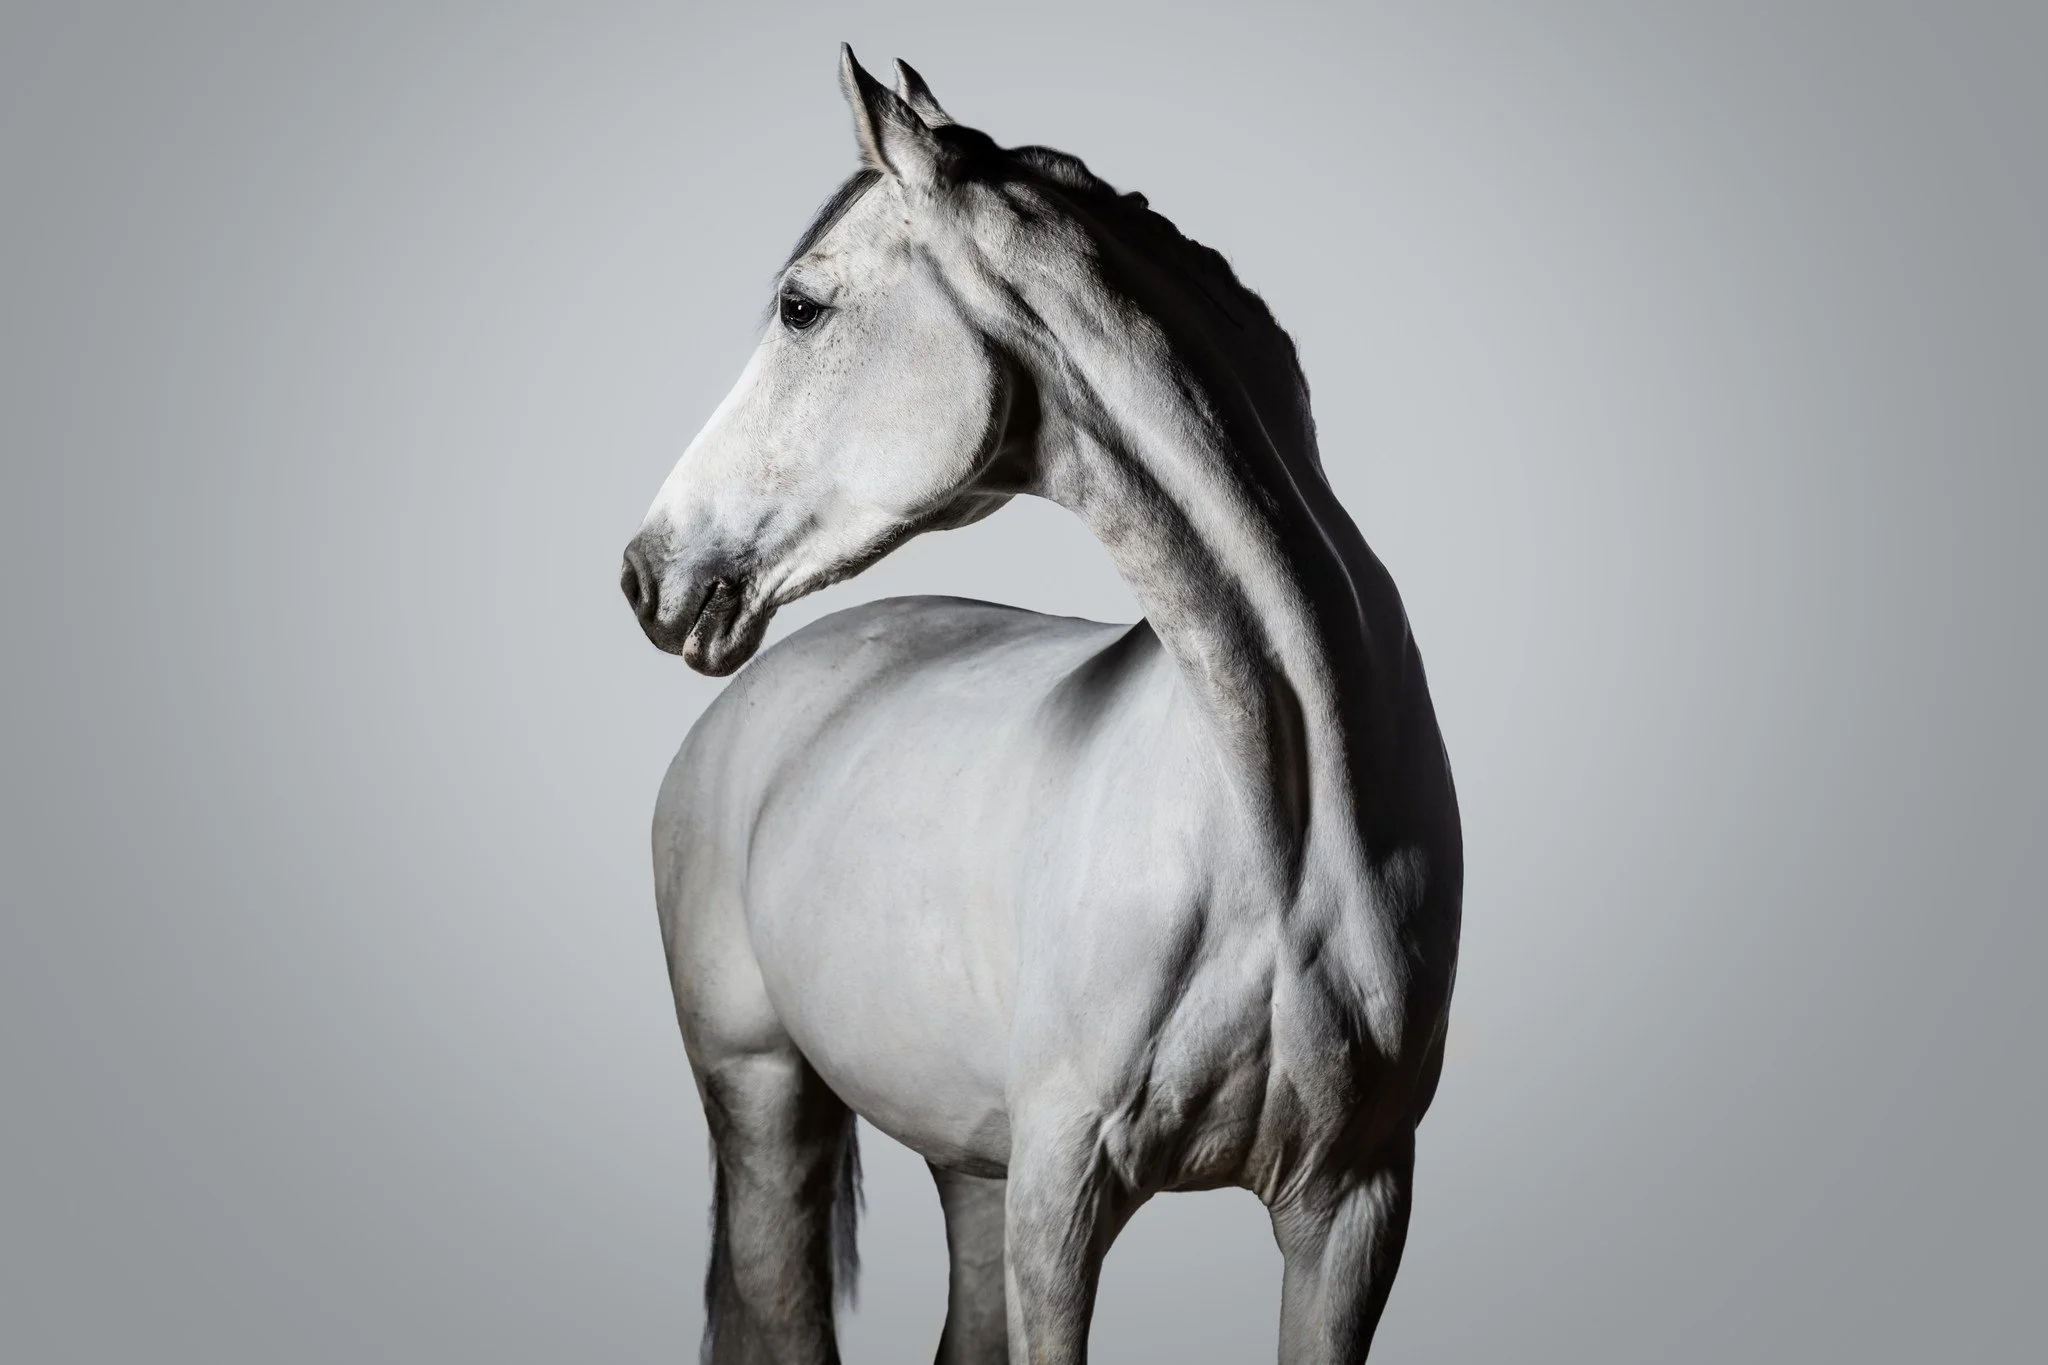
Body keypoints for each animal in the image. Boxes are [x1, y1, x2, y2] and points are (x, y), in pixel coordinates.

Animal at [621, 47, 1461, 1365]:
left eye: (802, 307)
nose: (647, 574)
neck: (1282, 833)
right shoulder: (1063, 1200)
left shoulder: (1352, 1205)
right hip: (762, 1097)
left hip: (971, 1163)